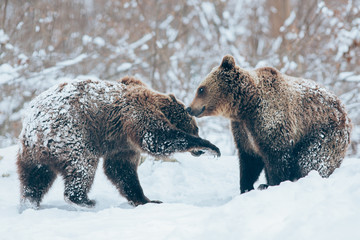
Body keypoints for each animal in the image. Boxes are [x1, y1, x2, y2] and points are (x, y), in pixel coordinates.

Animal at [18, 77, 221, 208]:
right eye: (196, 129)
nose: (198, 152)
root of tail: (33, 125)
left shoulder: (122, 144)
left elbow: (121, 170)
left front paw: (146, 199)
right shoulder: (134, 113)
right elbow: (155, 138)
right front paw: (210, 147)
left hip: (33, 152)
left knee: (35, 177)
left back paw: (30, 202)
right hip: (71, 134)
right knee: (82, 165)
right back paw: (83, 200)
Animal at [188, 54, 352, 193]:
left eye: (201, 89)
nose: (189, 108)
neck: (246, 106)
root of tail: (344, 109)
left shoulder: (271, 120)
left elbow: (277, 157)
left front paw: (273, 184)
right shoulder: (243, 130)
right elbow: (249, 160)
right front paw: (246, 187)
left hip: (324, 133)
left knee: (312, 158)